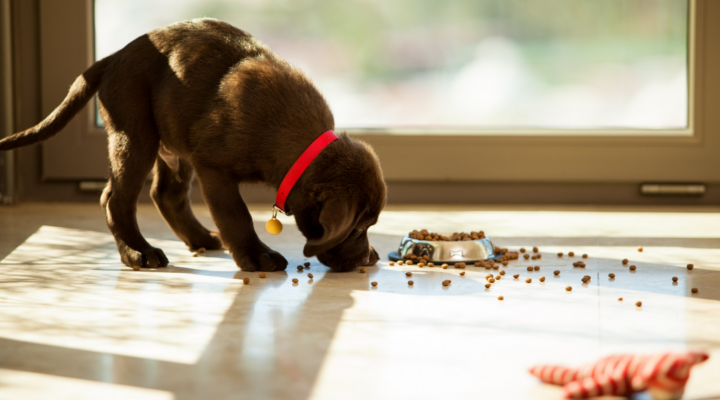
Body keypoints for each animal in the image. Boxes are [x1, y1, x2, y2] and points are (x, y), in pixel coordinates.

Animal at [0, 18, 386, 272]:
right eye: (358, 228)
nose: (367, 259)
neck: (298, 143)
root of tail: (113, 57)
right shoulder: (213, 166)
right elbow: (237, 214)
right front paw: (256, 255)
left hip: (173, 142)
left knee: (165, 194)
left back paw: (199, 237)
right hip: (135, 134)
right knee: (115, 199)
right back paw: (138, 253)